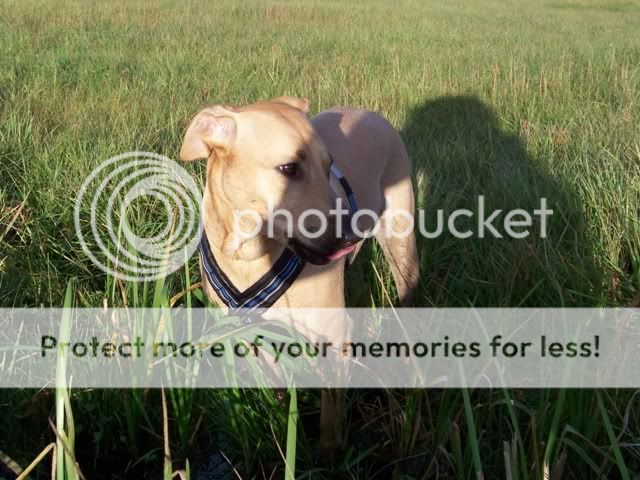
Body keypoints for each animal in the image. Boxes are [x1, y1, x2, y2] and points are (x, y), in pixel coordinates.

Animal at [180, 95, 419, 454]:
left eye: (329, 166)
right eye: (288, 168)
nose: (350, 236)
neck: (250, 254)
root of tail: (372, 114)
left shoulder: (333, 337)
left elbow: (330, 418)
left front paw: (328, 455)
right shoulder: (252, 337)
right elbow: (276, 393)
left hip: (402, 248)